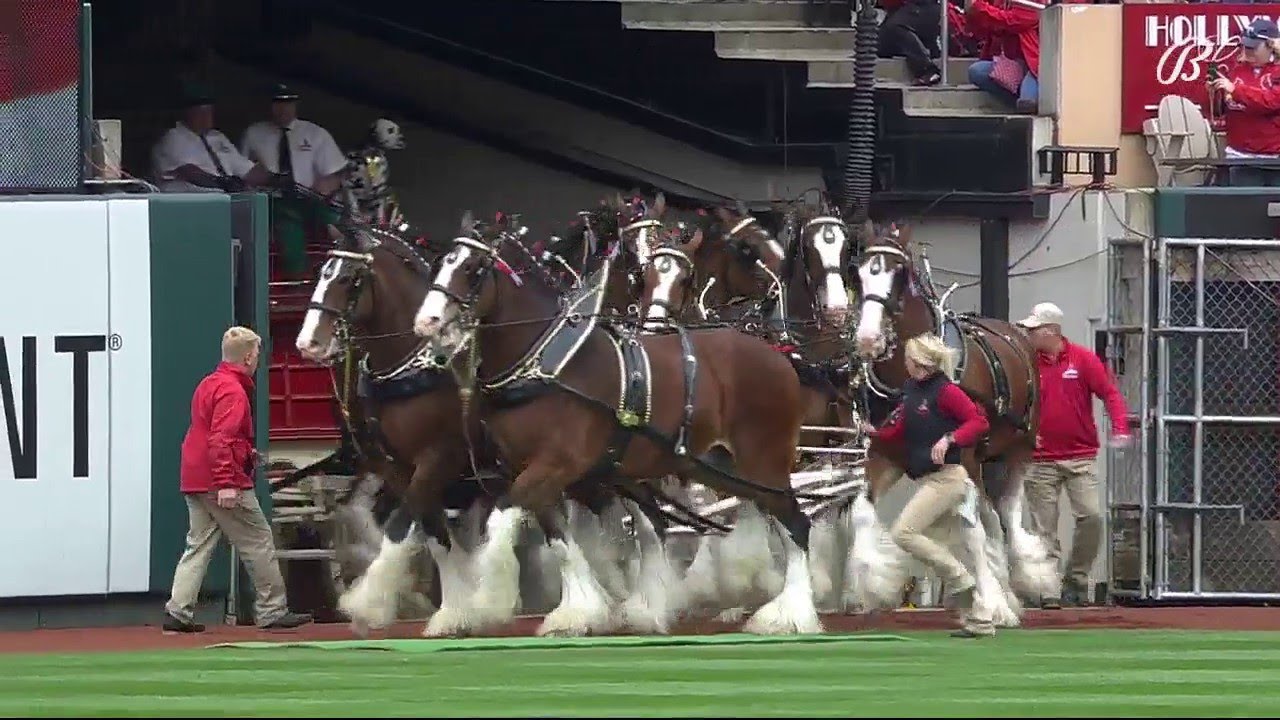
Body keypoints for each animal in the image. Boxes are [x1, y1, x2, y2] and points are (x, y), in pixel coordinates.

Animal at [414, 211, 824, 632]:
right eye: (440, 262)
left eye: (473, 268)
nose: (427, 321)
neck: (547, 365)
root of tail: (778, 356)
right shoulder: (529, 472)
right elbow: (560, 541)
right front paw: (579, 611)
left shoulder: (556, 466)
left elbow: (501, 522)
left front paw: (488, 597)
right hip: (721, 467)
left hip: (763, 460)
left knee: (796, 525)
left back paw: (789, 614)